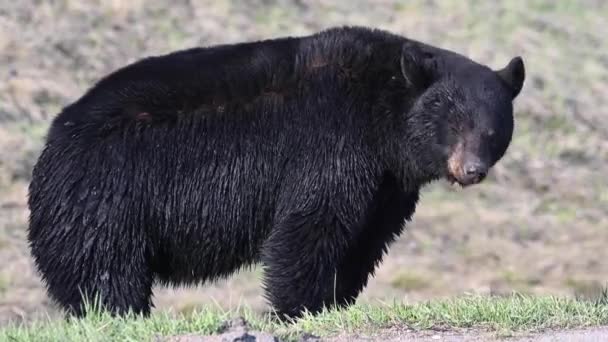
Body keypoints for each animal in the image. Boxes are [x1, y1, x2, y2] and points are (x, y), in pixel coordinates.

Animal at [27, 26, 524, 318]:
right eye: (454, 123)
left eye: (493, 130)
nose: (472, 170)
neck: (382, 115)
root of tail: (54, 138)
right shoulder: (332, 141)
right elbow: (311, 222)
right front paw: (299, 307)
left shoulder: (387, 183)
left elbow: (366, 237)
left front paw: (337, 299)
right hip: (106, 198)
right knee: (105, 270)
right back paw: (116, 313)